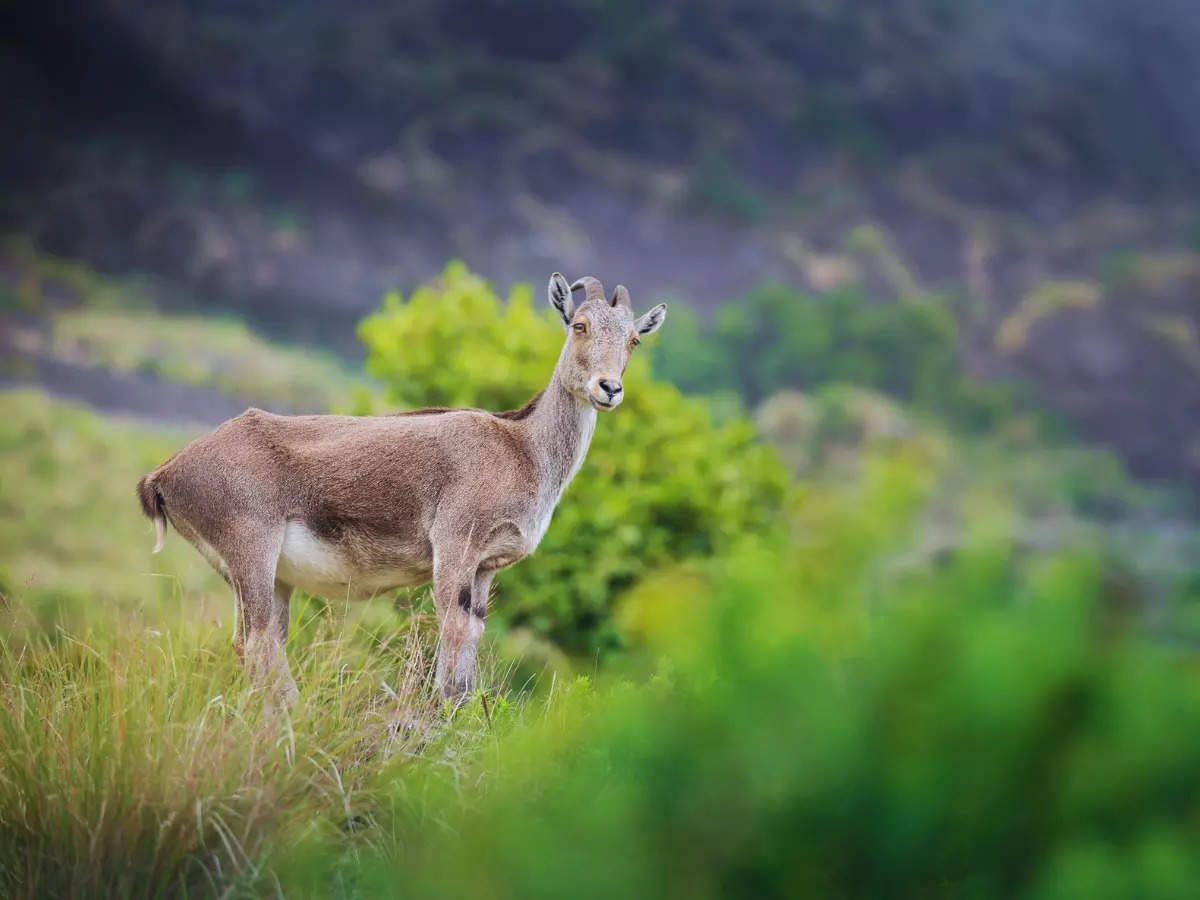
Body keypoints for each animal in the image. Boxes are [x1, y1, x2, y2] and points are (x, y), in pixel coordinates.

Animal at [138, 274, 676, 705]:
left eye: (634, 339)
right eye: (578, 325)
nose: (608, 388)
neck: (522, 448)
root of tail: (164, 475)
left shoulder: (485, 566)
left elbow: (471, 640)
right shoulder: (455, 542)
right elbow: (452, 632)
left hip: (269, 576)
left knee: (259, 642)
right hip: (250, 547)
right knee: (257, 644)